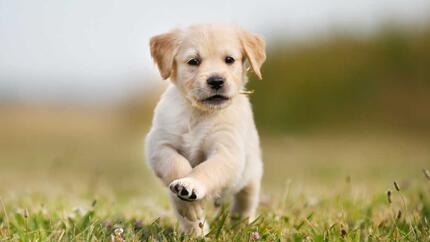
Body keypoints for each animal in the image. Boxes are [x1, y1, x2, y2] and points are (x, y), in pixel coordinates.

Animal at [144, 23, 266, 234]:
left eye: (229, 60)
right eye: (193, 61)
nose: (216, 80)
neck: (199, 113)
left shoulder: (227, 152)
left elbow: (207, 169)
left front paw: (191, 183)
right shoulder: (159, 145)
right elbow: (177, 164)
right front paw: (190, 205)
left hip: (251, 177)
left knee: (244, 205)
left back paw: (241, 228)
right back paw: (197, 232)